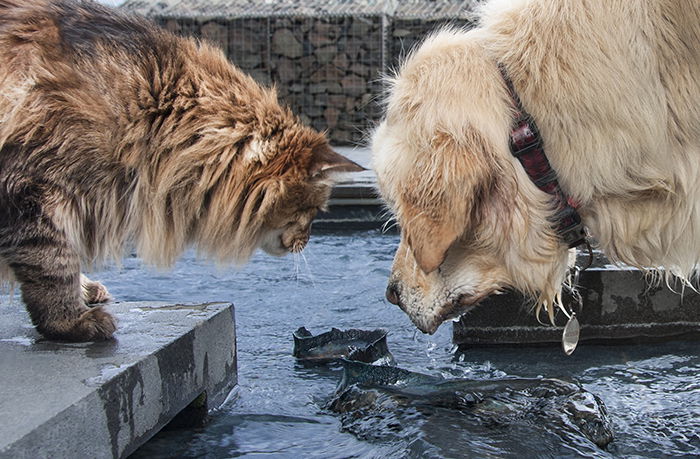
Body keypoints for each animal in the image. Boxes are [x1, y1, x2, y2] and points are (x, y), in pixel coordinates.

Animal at [0, 0, 360, 342]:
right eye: (312, 210)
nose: (305, 241)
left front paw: (82, 293)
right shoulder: (32, 187)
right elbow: (54, 263)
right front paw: (70, 321)